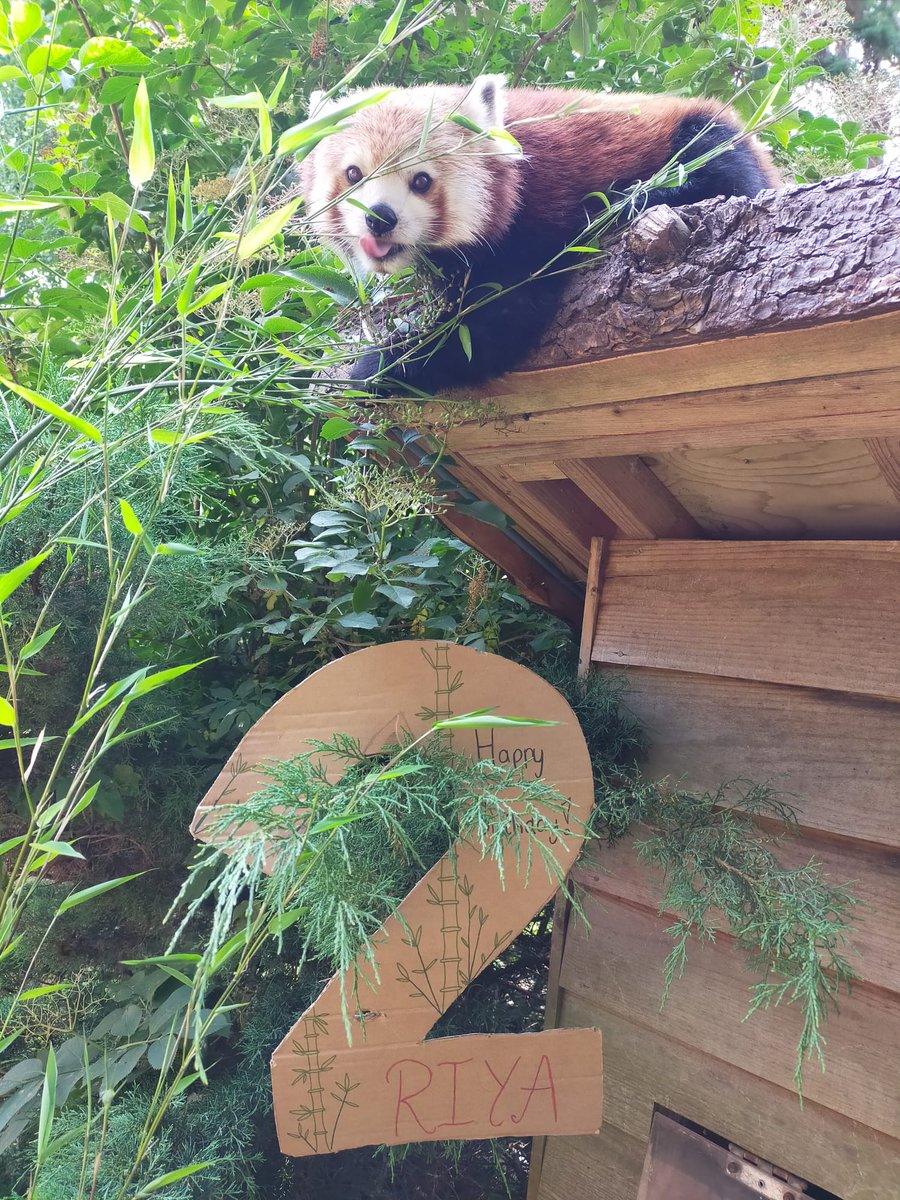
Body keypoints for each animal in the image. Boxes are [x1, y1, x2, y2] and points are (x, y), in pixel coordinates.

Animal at [300, 75, 777, 391]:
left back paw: (630, 198)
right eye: (354, 174)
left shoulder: (530, 223)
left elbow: (492, 327)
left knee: (718, 166)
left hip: (701, 130)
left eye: (421, 181)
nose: (379, 217)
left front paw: (375, 367)